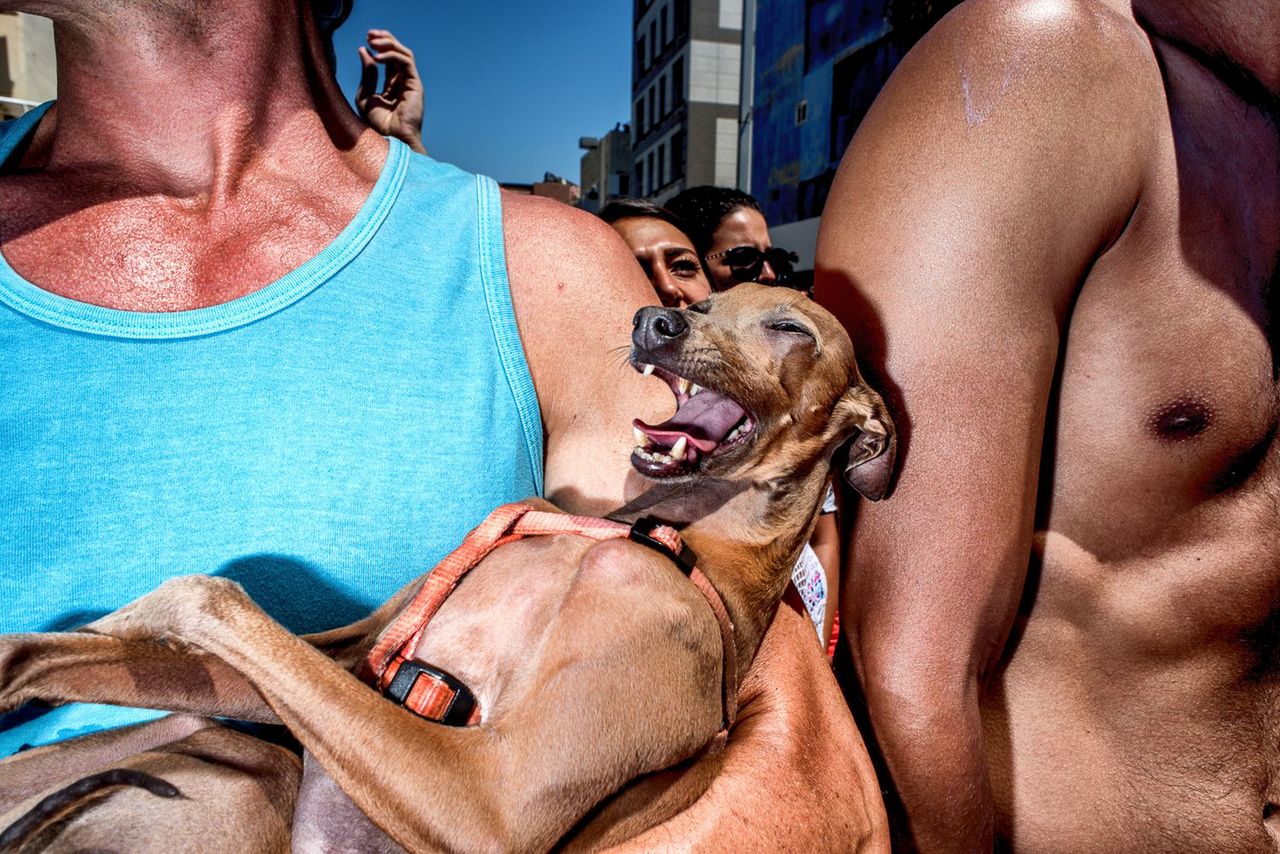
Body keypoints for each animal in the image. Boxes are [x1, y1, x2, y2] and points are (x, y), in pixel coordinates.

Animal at [0, 284, 890, 850]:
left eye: (792, 329)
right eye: (705, 304)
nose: (654, 321)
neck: (646, 530)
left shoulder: (487, 802)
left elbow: (209, 593)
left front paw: (137, 611)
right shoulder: (351, 665)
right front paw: (28, 655)